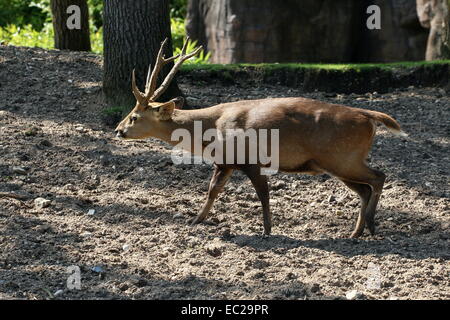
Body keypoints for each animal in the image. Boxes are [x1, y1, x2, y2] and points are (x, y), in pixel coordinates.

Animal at [113, 37, 408, 239]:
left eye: (135, 116)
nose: (118, 129)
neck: (210, 130)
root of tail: (368, 116)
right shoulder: (226, 163)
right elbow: (214, 190)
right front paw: (197, 220)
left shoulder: (249, 159)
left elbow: (261, 194)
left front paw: (266, 230)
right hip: (338, 162)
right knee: (365, 188)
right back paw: (355, 232)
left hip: (343, 156)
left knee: (378, 177)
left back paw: (371, 225)